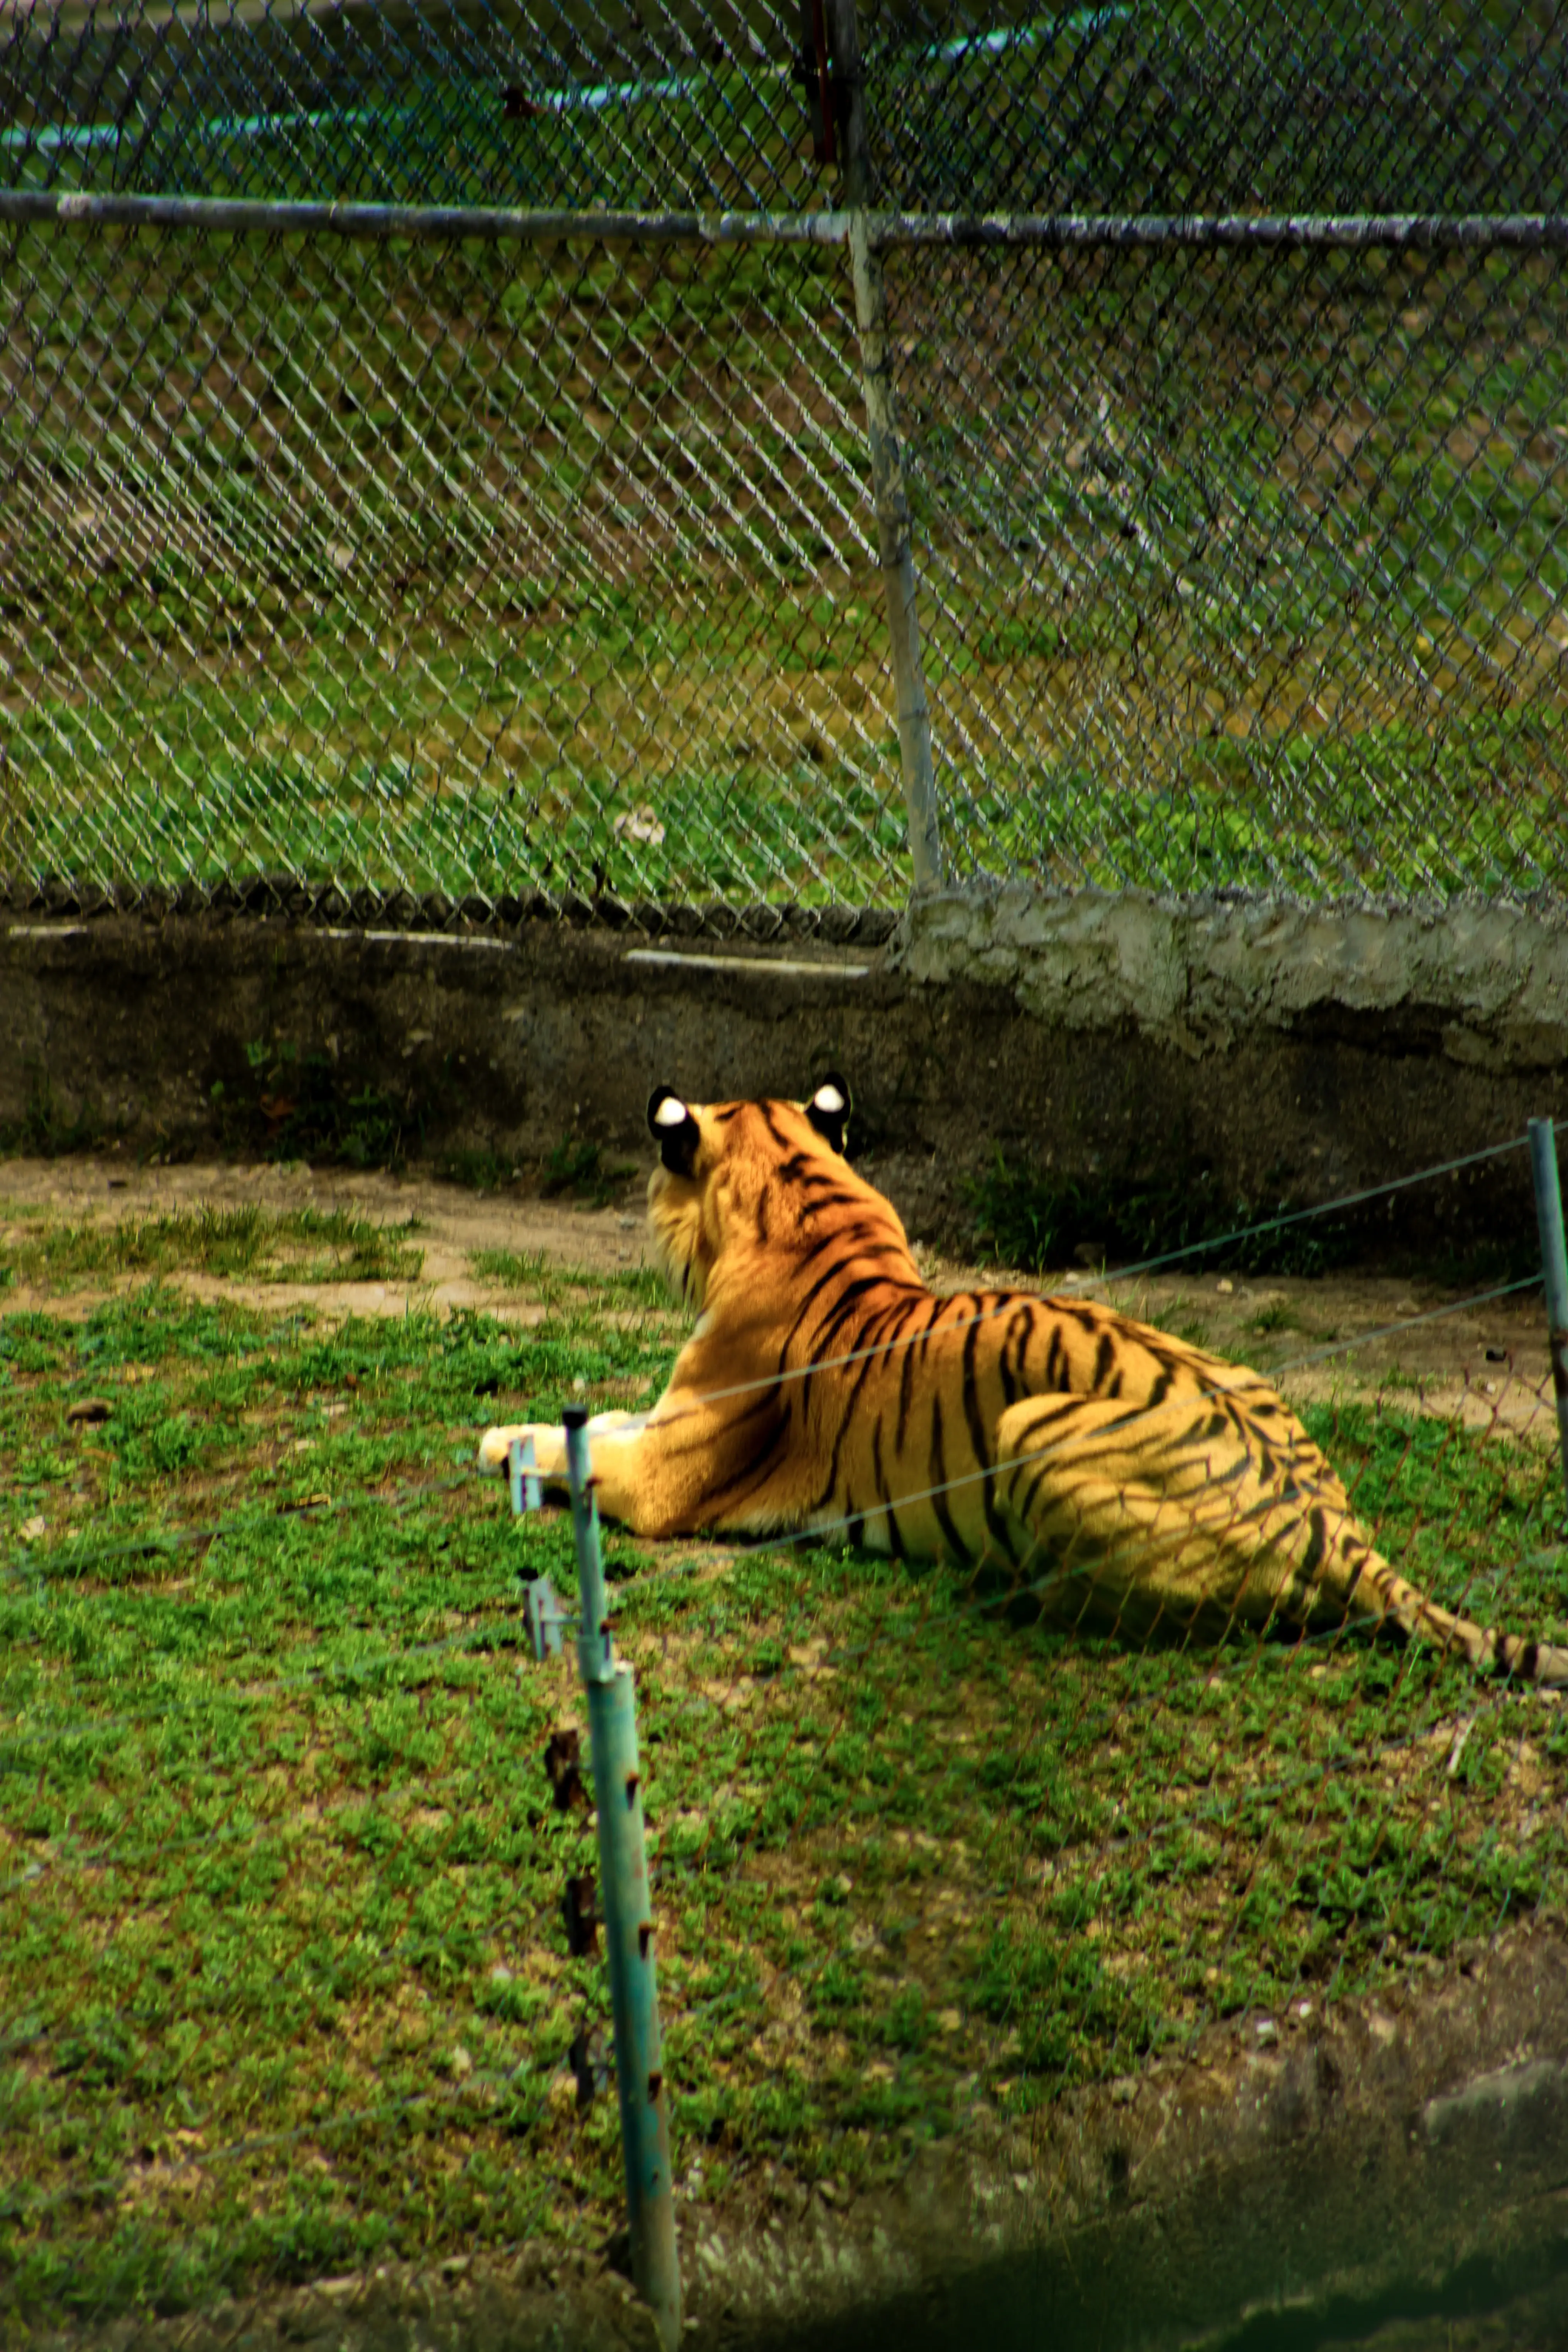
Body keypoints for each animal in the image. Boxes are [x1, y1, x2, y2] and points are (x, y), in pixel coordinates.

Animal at [479, 1076, 1568, 1684]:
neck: (802, 1193)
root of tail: (1333, 1527)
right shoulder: (661, 1424)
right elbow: (593, 1420)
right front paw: (503, 1438)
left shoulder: (666, 1474)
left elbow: (576, 1446)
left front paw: (498, 1446)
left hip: (1034, 1425)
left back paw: (1000, 1594)